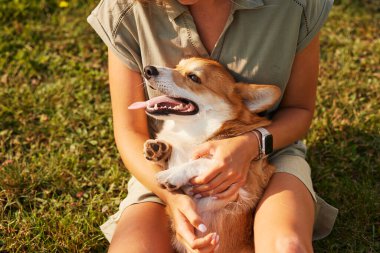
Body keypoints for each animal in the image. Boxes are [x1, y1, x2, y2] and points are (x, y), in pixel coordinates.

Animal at [129, 57, 280, 253]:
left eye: (194, 77)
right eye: (177, 66)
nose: (148, 69)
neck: (190, 133)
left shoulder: (242, 186)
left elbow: (203, 161)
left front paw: (173, 174)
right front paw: (159, 150)